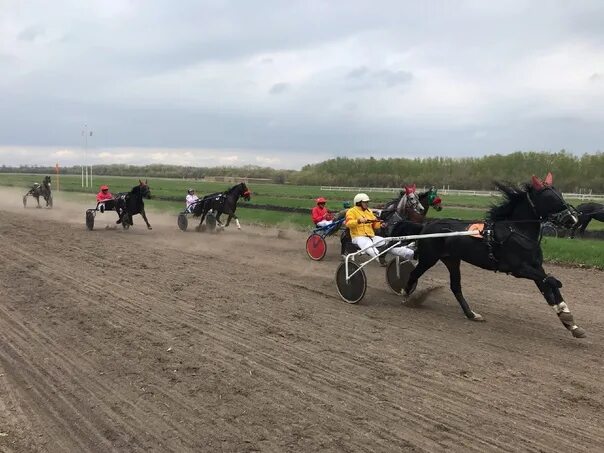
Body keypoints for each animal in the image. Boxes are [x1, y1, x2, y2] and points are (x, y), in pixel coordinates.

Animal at [402, 171, 584, 338]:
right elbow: (552, 281)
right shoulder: (519, 269)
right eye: (549, 197)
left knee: (455, 287)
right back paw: (405, 295)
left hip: (452, 260)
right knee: (414, 274)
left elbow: (549, 287)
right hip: (429, 258)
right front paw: (566, 313)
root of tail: (427, 225)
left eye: (560, 194)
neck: (517, 231)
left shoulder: (536, 267)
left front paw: (570, 322)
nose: (572, 219)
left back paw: (471, 314)